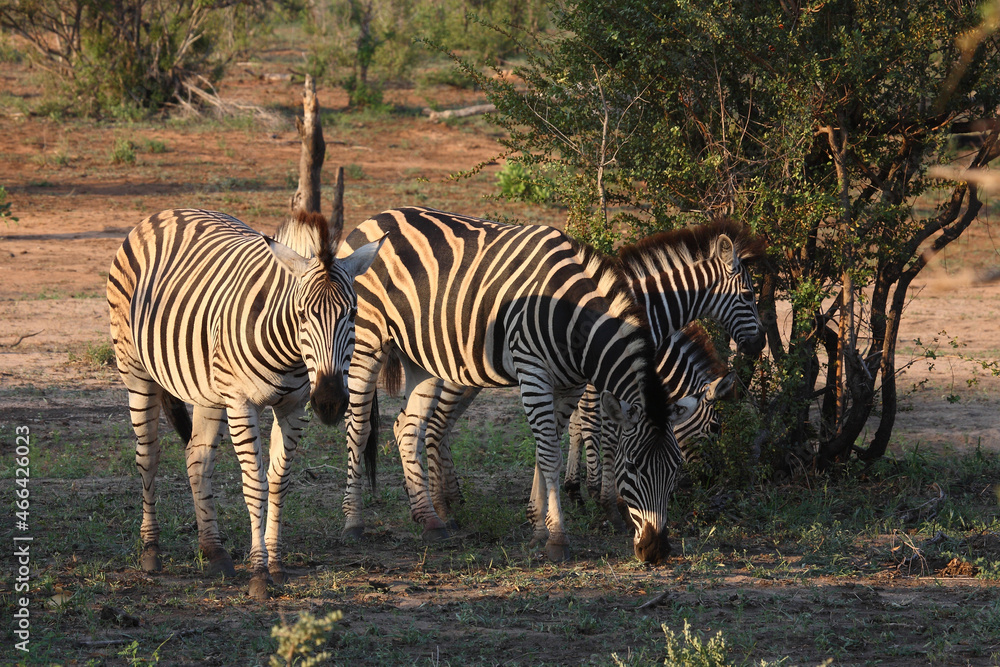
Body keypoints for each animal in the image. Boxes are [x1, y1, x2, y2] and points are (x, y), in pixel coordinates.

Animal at [107, 208, 383, 599]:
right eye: (302, 314)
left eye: (354, 313)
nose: (330, 401)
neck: (289, 352)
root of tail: (165, 213)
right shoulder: (241, 402)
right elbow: (255, 485)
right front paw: (258, 573)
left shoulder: (295, 407)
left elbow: (278, 481)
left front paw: (276, 564)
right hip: (135, 370)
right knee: (148, 456)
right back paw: (151, 552)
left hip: (208, 390)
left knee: (197, 458)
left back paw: (215, 552)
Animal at [338, 207, 680, 563]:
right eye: (632, 466)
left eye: (676, 470)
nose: (656, 551)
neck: (572, 317)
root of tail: (375, 218)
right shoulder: (532, 371)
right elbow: (549, 454)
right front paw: (556, 538)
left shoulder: (570, 384)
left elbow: (546, 450)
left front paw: (539, 527)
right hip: (366, 339)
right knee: (359, 428)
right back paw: (353, 522)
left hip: (420, 354)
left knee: (407, 427)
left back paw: (430, 519)